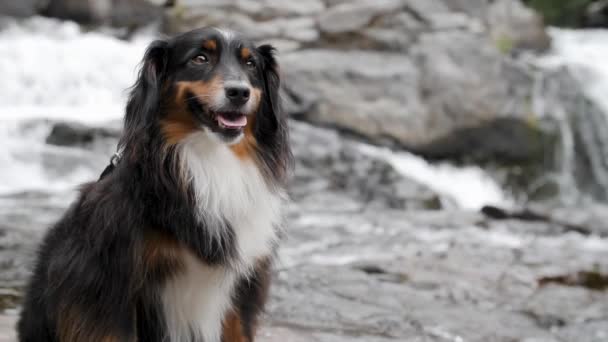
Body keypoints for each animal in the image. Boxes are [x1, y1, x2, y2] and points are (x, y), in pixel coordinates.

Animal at [17, 27, 292, 342]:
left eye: (250, 64)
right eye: (200, 58)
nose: (239, 92)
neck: (209, 158)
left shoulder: (245, 286)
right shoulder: (108, 286)